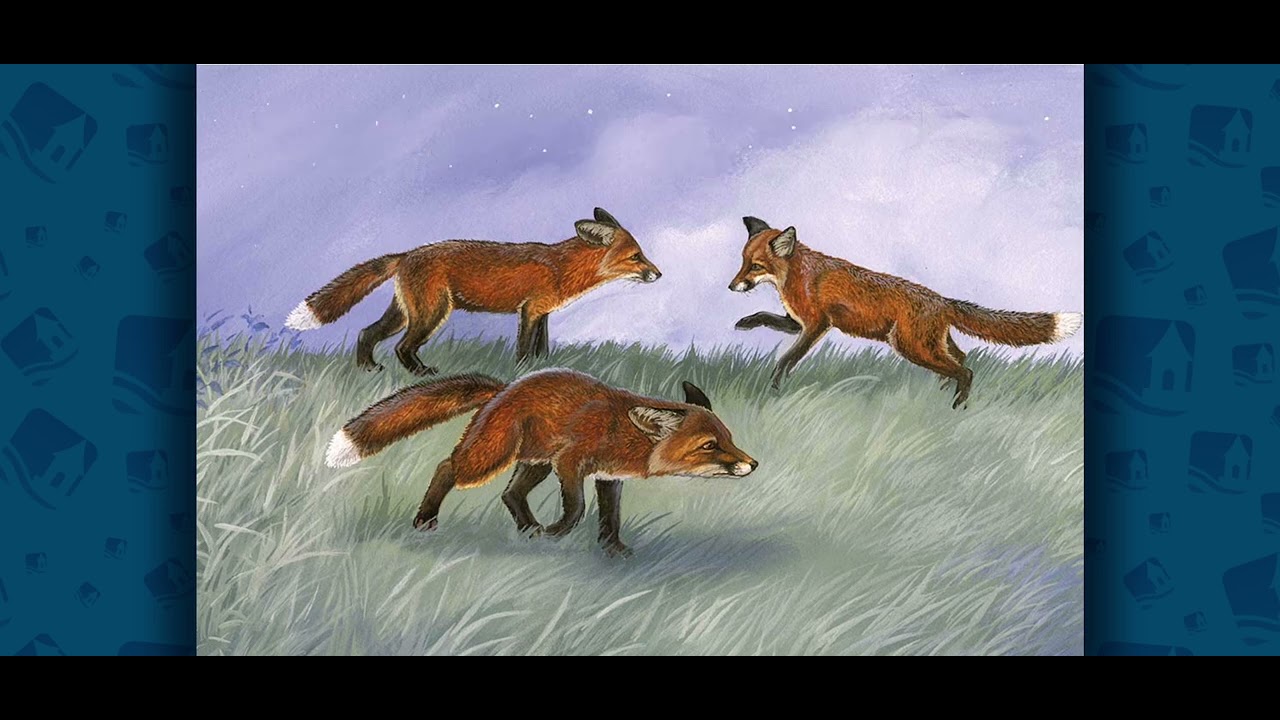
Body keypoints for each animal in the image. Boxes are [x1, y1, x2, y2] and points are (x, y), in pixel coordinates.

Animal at [284, 208, 661, 375]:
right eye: (636, 256)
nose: (658, 274)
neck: (560, 268)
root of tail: (407, 254)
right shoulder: (529, 311)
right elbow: (524, 350)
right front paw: (522, 374)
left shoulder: (542, 313)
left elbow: (542, 348)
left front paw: (545, 368)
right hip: (432, 314)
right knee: (402, 347)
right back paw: (421, 374)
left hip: (405, 313)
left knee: (366, 333)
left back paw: (368, 368)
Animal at [324, 368, 757, 557]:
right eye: (709, 445)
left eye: (729, 439)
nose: (752, 464)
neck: (622, 431)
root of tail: (503, 389)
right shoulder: (571, 462)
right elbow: (576, 509)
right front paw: (558, 532)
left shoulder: (607, 477)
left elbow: (610, 517)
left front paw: (614, 550)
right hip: (493, 457)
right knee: (448, 467)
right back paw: (426, 519)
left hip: (534, 462)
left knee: (510, 495)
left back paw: (528, 530)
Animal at [729, 216, 1082, 408]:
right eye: (743, 262)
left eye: (755, 266)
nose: (732, 286)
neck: (798, 276)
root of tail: (943, 300)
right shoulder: (795, 322)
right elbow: (765, 317)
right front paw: (745, 323)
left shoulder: (817, 325)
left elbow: (787, 359)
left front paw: (775, 388)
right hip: (930, 344)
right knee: (961, 358)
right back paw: (942, 392)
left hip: (911, 346)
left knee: (965, 370)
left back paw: (957, 407)